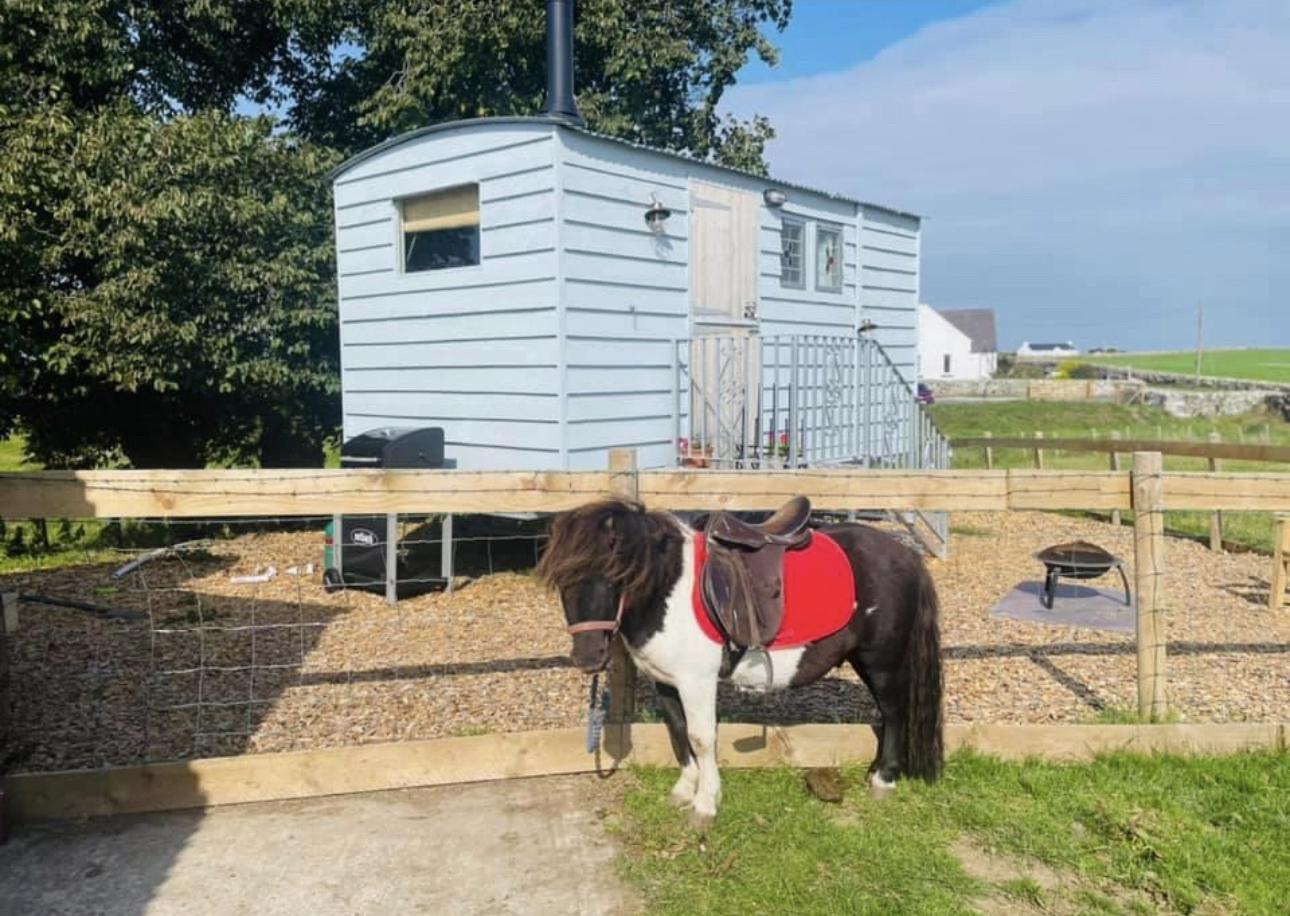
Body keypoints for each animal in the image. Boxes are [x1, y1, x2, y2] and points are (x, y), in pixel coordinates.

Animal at [539, 497, 944, 830]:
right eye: (560, 580)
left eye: (616, 575)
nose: (587, 657)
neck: (667, 591)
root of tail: (906, 555)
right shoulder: (666, 682)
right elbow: (677, 731)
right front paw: (684, 790)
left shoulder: (696, 682)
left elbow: (702, 738)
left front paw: (705, 806)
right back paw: (875, 772)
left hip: (882, 661)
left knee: (893, 713)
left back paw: (884, 780)